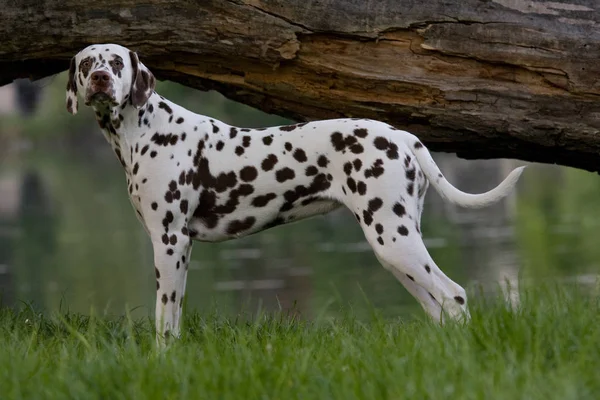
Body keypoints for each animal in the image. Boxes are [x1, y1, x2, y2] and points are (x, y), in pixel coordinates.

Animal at [64, 43, 524, 344]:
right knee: (438, 307)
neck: (146, 130)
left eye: (116, 62)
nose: (101, 79)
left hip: (395, 242)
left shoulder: (169, 242)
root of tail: (402, 135)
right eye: (88, 63)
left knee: (455, 297)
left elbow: (164, 320)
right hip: (396, 250)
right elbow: (173, 317)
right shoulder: (179, 249)